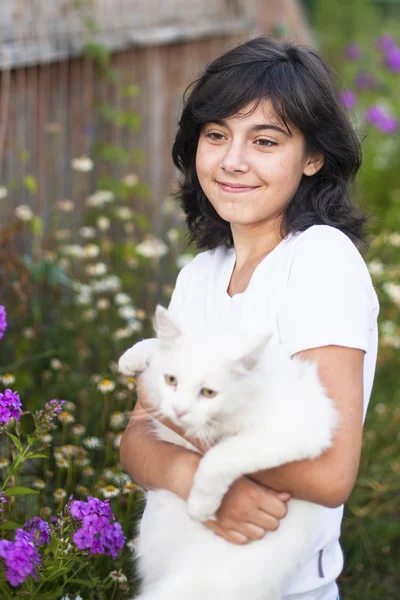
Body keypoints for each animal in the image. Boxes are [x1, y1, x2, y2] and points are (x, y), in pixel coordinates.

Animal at [119, 308, 340, 596]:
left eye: (208, 393)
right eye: (171, 380)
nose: (179, 410)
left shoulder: (296, 432)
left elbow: (218, 458)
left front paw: (200, 506)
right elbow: (155, 345)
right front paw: (133, 357)